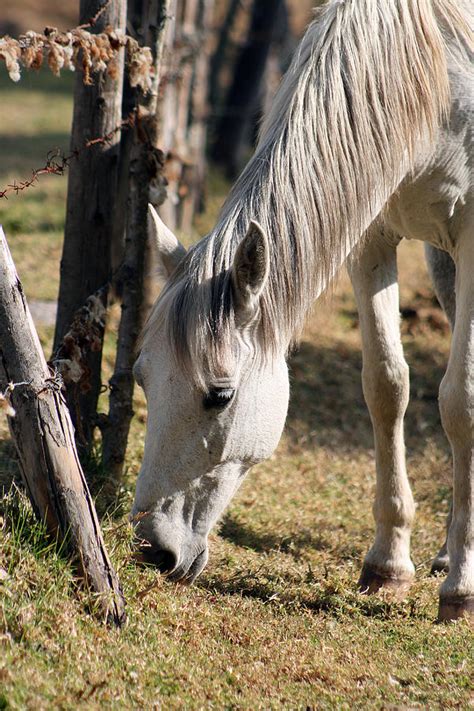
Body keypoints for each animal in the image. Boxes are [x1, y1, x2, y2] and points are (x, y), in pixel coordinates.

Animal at [133, 0, 474, 624]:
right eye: (142, 377)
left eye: (219, 395)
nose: (152, 549)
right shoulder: (371, 237)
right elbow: (386, 387)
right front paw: (388, 565)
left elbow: (459, 401)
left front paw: (460, 590)